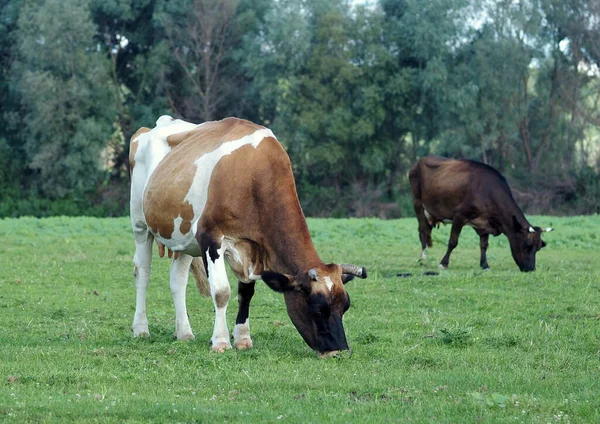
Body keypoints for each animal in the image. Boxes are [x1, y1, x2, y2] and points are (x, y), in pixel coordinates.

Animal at [129, 116, 368, 358]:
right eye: (318, 309)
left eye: (345, 306)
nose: (340, 351)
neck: (254, 176)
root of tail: (158, 124)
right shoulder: (210, 237)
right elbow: (221, 291)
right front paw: (221, 341)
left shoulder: (252, 247)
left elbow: (246, 292)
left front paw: (243, 338)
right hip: (140, 224)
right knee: (142, 272)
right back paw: (141, 328)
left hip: (183, 237)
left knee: (177, 279)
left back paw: (184, 332)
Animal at [408, 156, 552, 272]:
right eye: (527, 245)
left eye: (538, 247)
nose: (531, 269)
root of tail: (420, 161)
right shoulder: (459, 216)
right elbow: (453, 242)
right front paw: (443, 263)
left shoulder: (485, 223)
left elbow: (484, 245)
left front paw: (485, 265)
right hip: (418, 203)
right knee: (422, 232)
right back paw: (423, 258)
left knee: (427, 232)